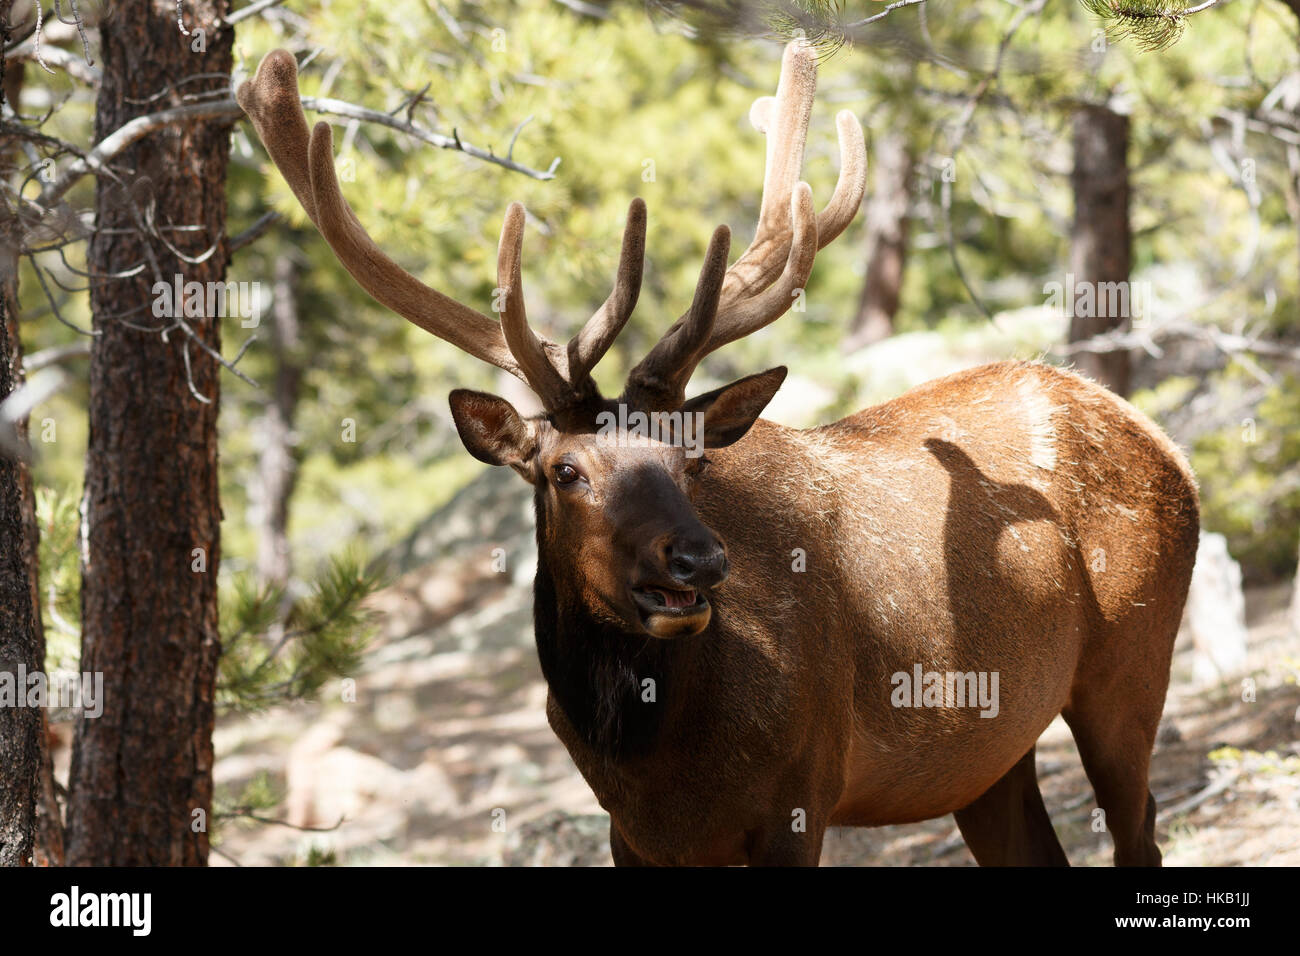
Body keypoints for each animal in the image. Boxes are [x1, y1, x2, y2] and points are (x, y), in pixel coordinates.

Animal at [237, 41, 1200, 867]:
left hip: (1131, 667)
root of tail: (1158, 438)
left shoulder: (801, 795)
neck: (648, 755)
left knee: (1142, 832)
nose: (698, 561)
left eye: (692, 464)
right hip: (987, 757)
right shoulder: (633, 834)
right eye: (565, 470)